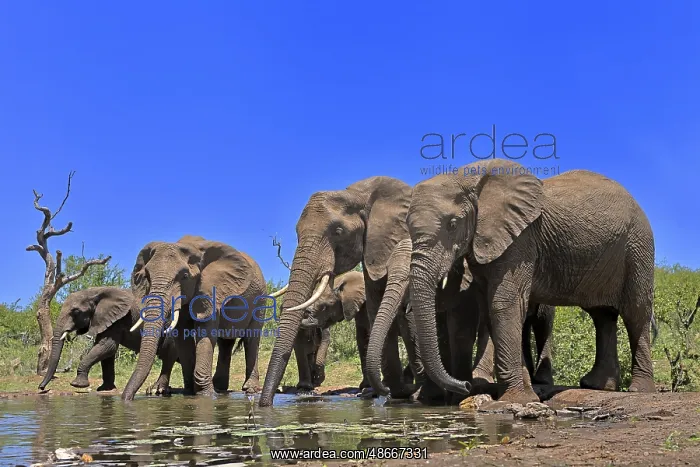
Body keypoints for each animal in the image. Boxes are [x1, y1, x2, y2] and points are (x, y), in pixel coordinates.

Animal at [38, 286, 178, 394]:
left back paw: (158, 390)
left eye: (76, 312)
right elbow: (107, 353)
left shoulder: (118, 319)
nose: (41, 388)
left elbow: (107, 346)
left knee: (168, 357)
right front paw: (105, 389)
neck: (95, 292)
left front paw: (77, 385)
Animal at [122, 235, 268, 401]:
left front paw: (207, 395)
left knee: (251, 339)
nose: (127, 398)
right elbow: (182, 338)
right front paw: (191, 391)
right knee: (225, 343)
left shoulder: (210, 291)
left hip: (260, 299)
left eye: (185, 276)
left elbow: (205, 333)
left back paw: (250, 389)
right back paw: (220, 387)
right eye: (147, 276)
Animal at [406, 158, 656, 404]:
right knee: (602, 316)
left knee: (635, 312)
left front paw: (518, 398)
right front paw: (526, 394)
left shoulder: (521, 239)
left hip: (638, 247)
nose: (466, 386)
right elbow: (489, 309)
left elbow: (504, 304)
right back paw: (598, 386)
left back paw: (639, 390)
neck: (467, 177)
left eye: (452, 224)